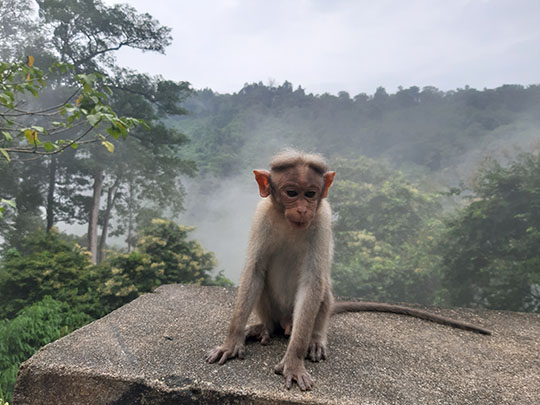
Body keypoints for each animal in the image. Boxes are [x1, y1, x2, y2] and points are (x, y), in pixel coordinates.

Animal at [206, 150, 490, 390]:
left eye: (310, 194)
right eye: (292, 192)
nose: (303, 209)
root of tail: (285, 322)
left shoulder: (322, 220)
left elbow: (313, 282)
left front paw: (294, 360)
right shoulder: (261, 216)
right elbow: (254, 272)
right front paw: (231, 341)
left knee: (322, 290)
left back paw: (315, 339)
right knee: (265, 291)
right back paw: (264, 328)